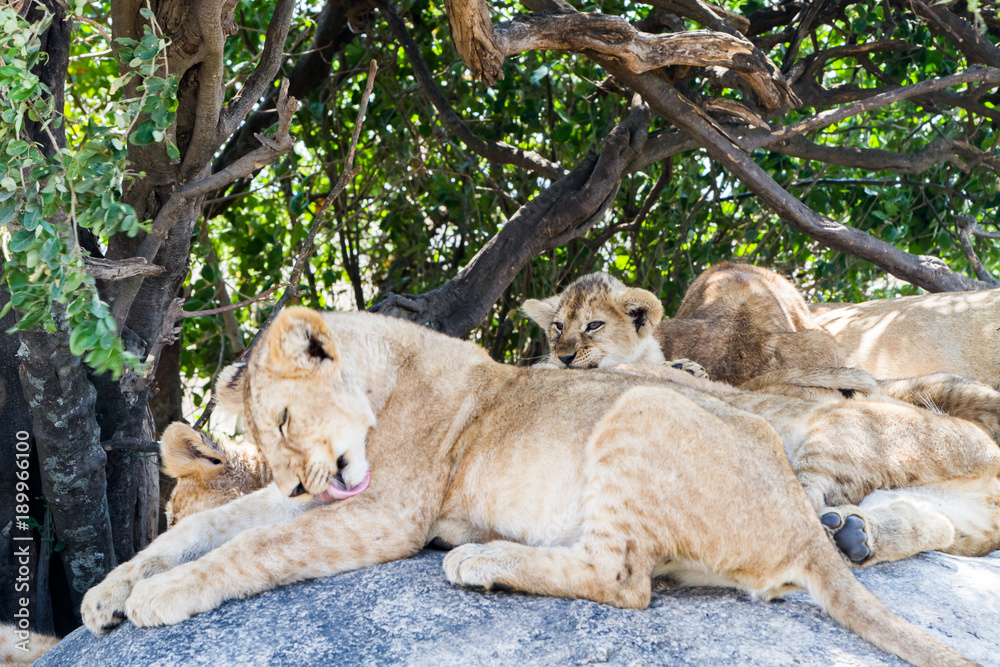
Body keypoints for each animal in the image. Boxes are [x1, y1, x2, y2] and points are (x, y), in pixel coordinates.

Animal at [80, 307, 973, 666]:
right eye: (267, 440)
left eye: (289, 421)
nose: (303, 484)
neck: (384, 368)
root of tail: (801, 522)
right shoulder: (340, 498)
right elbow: (192, 531)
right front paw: (107, 593)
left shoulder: (385, 514)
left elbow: (253, 547)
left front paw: (162, 597)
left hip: (639, 405)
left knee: (623, 579)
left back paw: (479, 559)